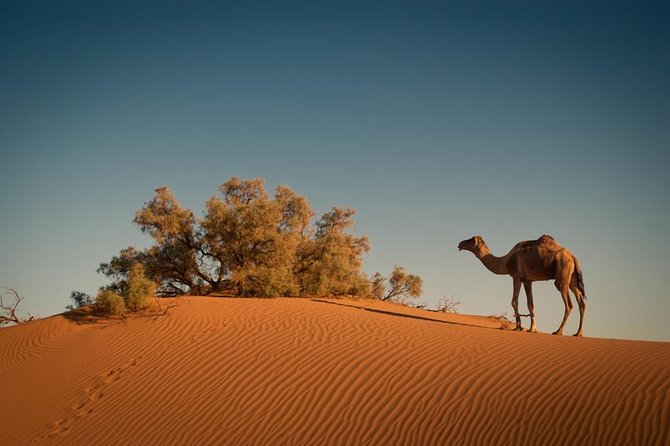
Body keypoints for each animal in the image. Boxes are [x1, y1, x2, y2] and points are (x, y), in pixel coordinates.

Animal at [456, 235, 588, 336]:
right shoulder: (527, 281)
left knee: (569, 304)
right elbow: (531, 304)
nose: (460, 244)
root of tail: (573, 257)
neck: (506, 261)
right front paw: (532, 329)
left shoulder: (516, 276)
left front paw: (518, 327)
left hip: (562, 275)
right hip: (572, 279)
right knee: (582, 303)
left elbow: (514, 301)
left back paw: (558, 331)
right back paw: (578, 333)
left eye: (470, 240)